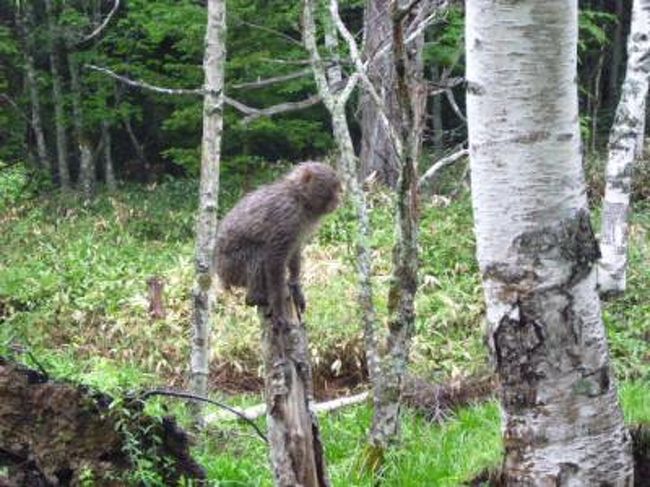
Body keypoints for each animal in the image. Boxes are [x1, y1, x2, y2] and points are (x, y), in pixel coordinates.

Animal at [215, 162, 342, 326]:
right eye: (334, 187)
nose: (339, 198)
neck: (300, 198)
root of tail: (219, 273)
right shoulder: (286, 216)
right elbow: (275, 259)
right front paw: (278, 307)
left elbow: (295, 249)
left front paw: (295, 285)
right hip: (231, 267)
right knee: (259, 253)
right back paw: (254, 297)